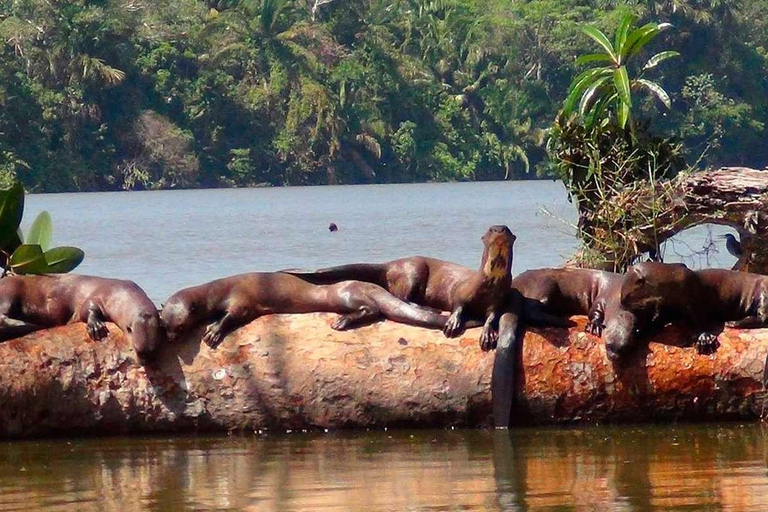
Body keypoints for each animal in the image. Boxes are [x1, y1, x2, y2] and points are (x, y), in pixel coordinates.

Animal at [0, 274, 164, 358]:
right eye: (138, 350)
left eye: (152, 351)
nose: (145, 360)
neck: (120, 293)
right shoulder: (98, 296)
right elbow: (87, 308)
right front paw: (96, 327)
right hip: (10, 289)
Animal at [162, 272, 450, 348]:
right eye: (165, 325)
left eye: (180, 325)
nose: (172, 338)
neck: (220, 291)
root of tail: (369, 285)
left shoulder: (242, 300)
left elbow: (232, 316)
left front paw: (214, 331)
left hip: (343, 295)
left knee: (372, 310)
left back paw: (341, 322)